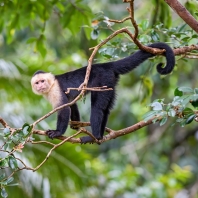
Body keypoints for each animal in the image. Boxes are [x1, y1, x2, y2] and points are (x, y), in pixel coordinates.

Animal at [31, 42, 175, 144]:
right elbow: (71, 104)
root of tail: (106, 65)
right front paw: (76, 124)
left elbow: (64, 109)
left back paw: (94, 136)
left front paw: (57, 132)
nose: (41, 86)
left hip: (103, 80)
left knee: (97, 108)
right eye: (37, 83)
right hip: (110, 83)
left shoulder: (55, 90)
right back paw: (100, 136)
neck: (51, 84)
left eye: (42, 81)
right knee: (106, 109)